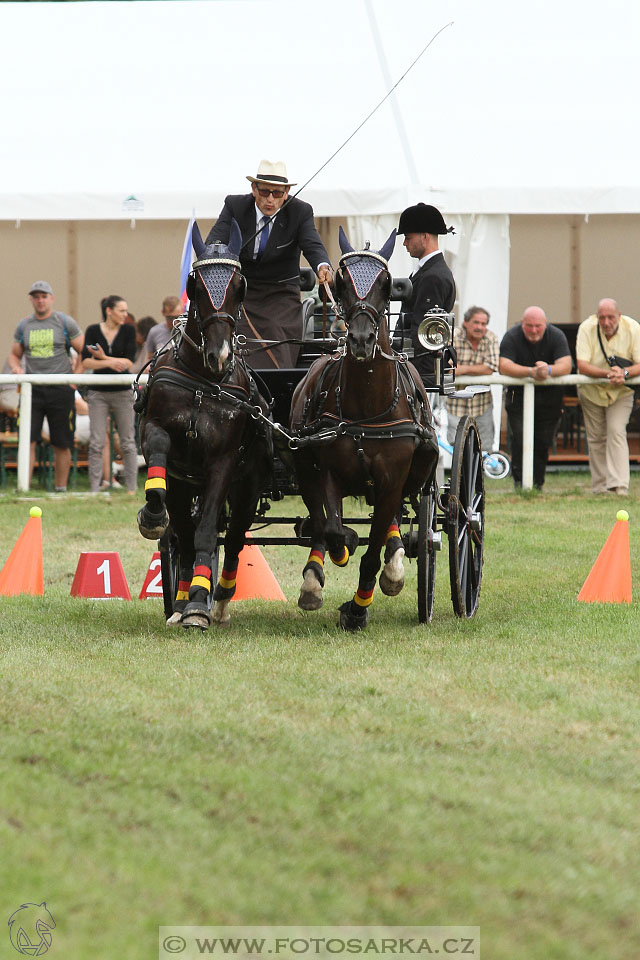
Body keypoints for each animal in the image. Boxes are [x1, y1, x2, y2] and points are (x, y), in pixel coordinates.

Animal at [136, 221, 272, 632]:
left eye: (239, 285)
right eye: (195, 285)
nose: (220, 354)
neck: (202, 381)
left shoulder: (223, 462)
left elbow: (210, 531)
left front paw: (200, 603)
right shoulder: (158, 434)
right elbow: (158, 471)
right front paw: (152, 517)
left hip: (248, 486)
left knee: (234, 539)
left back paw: (219, 600)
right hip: (185, 485)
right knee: (182, 532)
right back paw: (179, 601)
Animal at [290, 226, 440, 632]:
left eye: (387, 283)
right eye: (341, 281)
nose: (359, 339)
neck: (367, 412)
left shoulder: (392, 480)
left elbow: (374, 552)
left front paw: (358, 608)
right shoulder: (326, 473)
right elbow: (332, 529)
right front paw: (340, 550)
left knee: (396, 525)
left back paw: (394, 564)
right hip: (305, 468)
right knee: (321, 521)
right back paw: (315, 576)